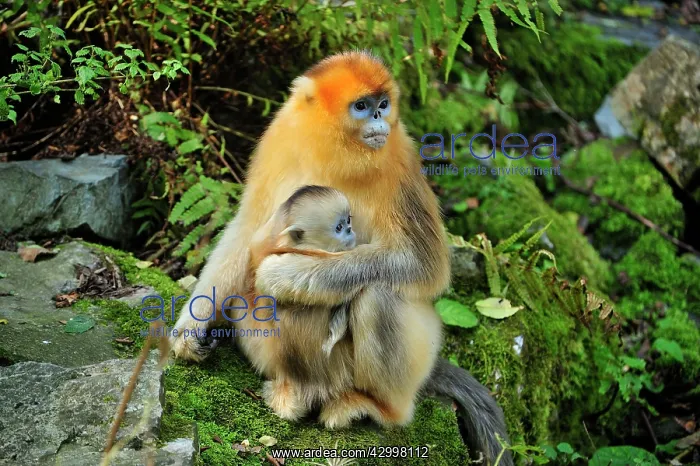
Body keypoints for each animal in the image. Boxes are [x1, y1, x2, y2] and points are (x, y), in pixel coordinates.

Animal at [169, 51, 513, 466]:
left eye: (383, 104)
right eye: (362, 106)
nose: (379, 118)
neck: (336, 152)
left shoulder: (399, 157)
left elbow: (421, 265)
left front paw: (286, 274)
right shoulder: (280, 139)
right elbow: (247, 229)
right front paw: (191, 328)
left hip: (415, 355)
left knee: (378, 295)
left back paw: (374, 407)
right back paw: (295, 393)